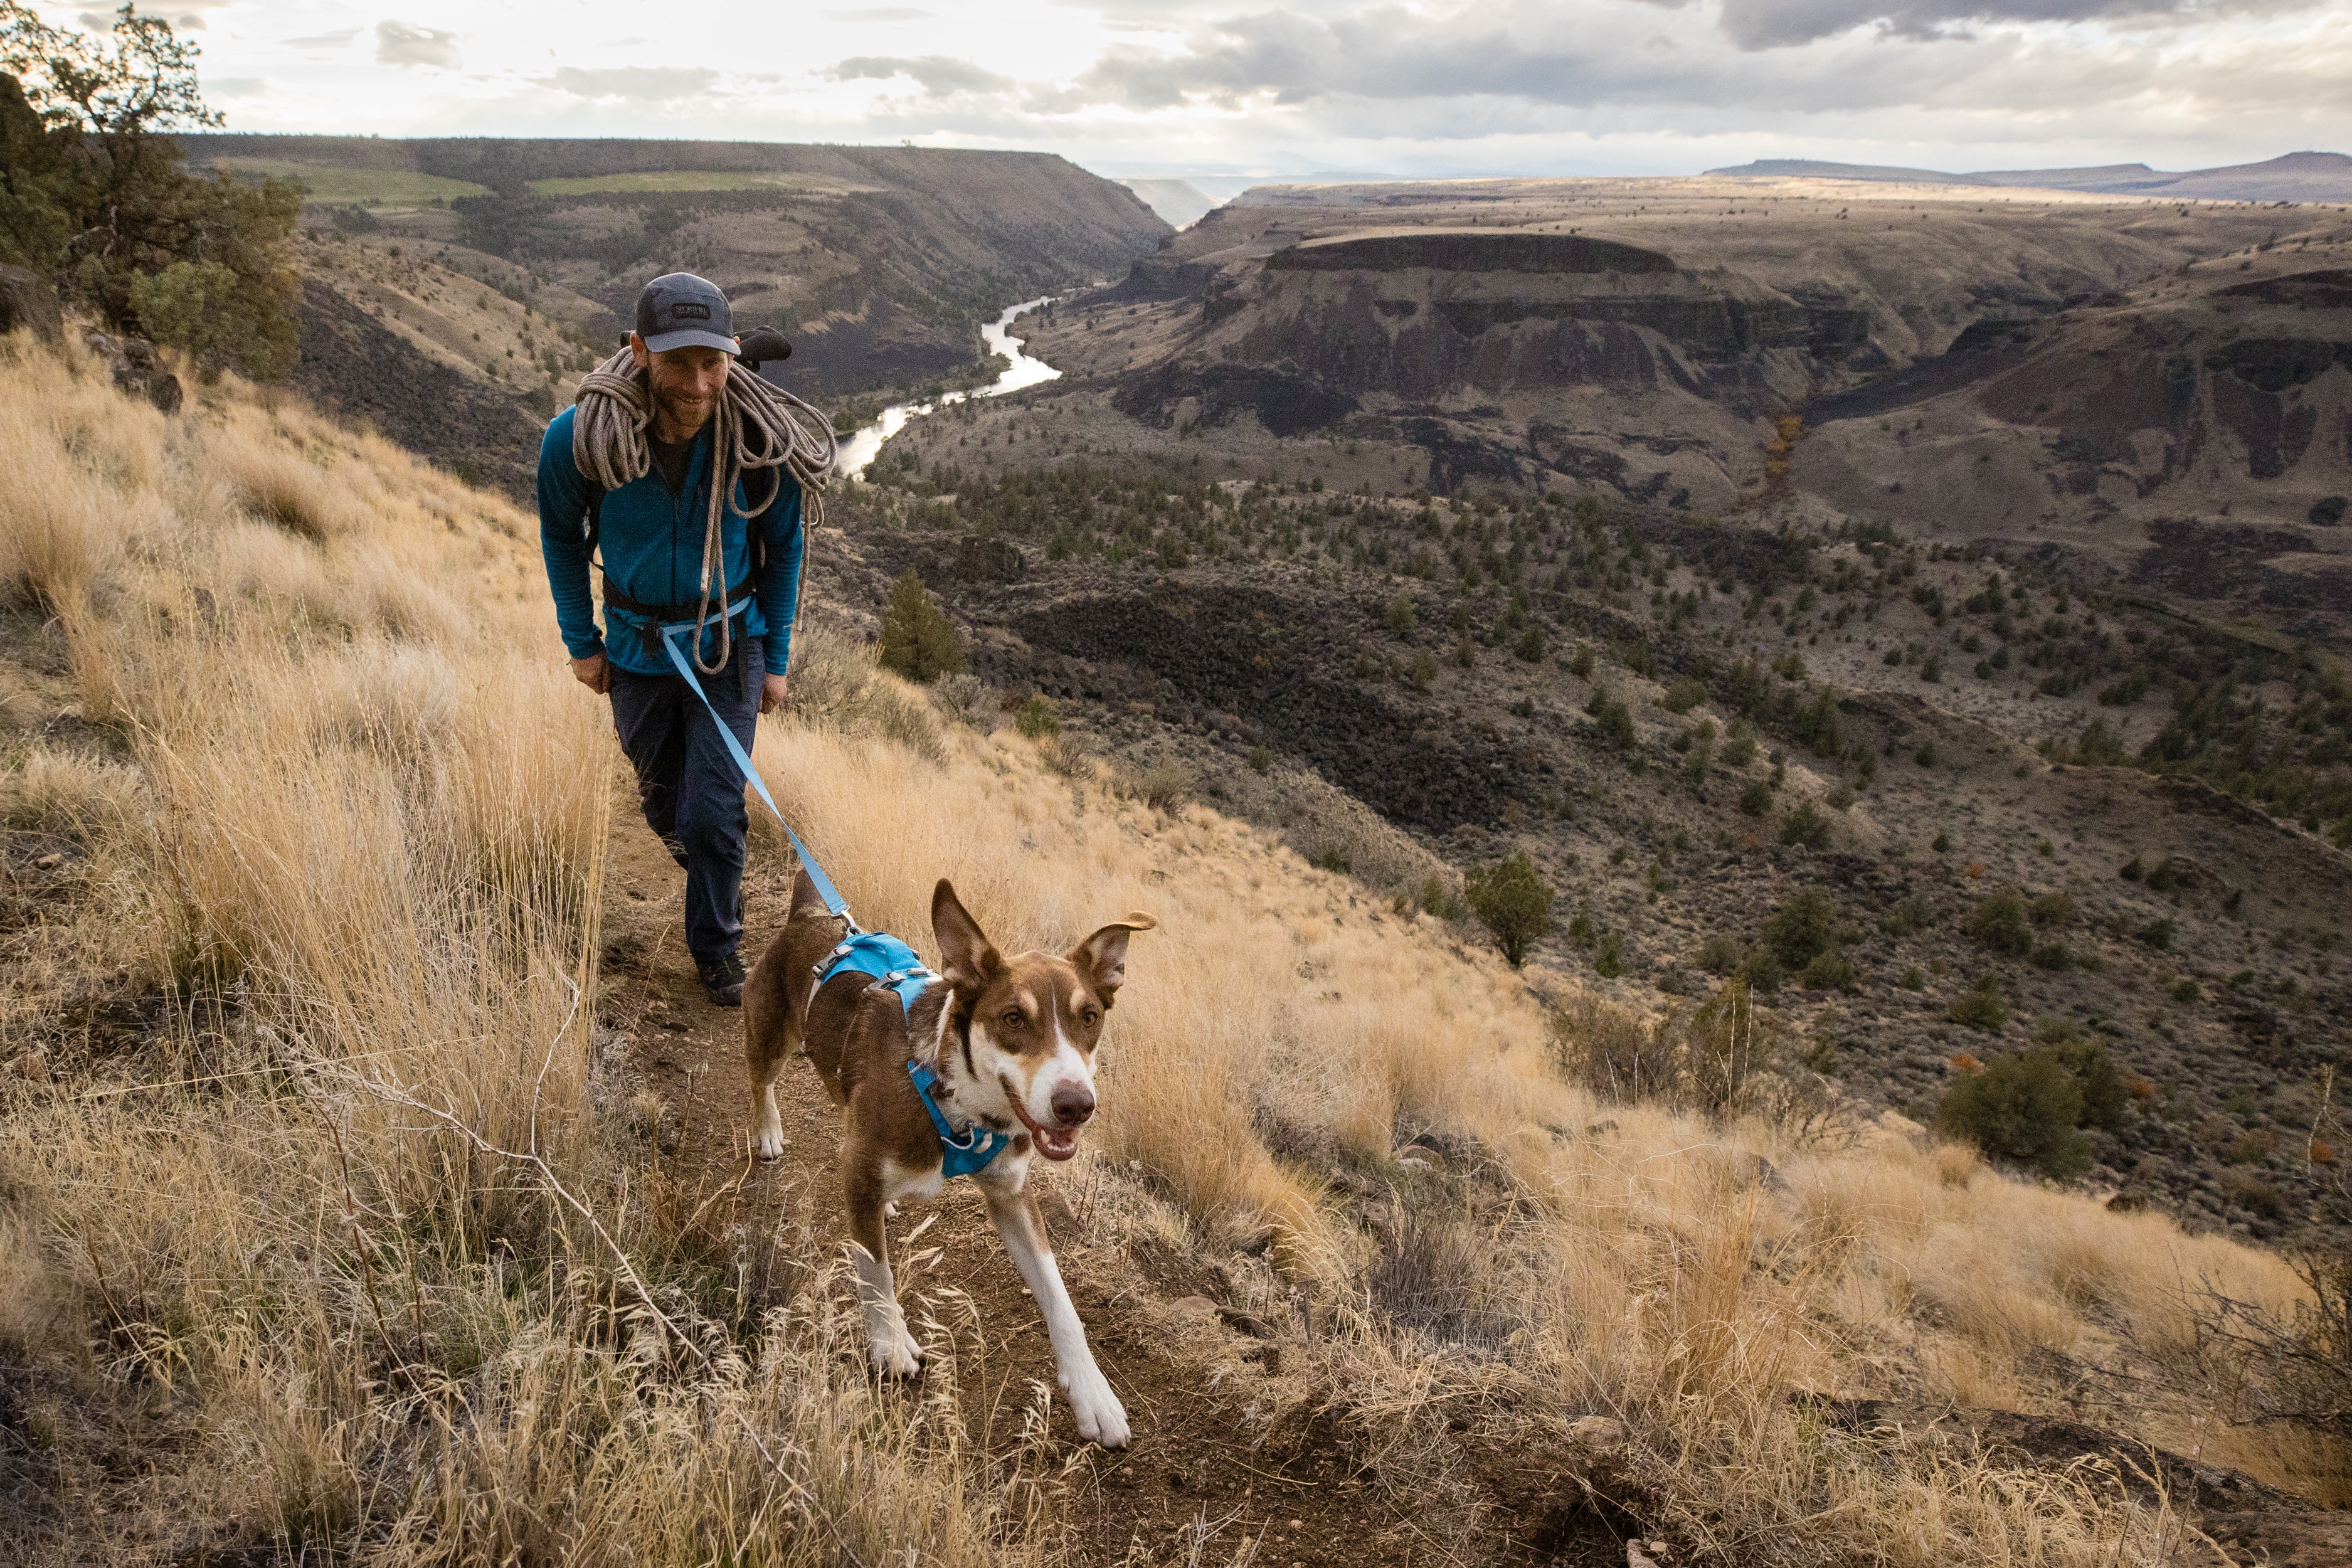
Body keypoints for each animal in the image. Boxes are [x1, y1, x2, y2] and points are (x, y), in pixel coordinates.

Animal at [748, 869, 1152, 1448]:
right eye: (1012, 1018)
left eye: (1090, 1018)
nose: (1076, 1105)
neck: (960, 1101)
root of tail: (806, 916)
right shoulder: (862, 1169)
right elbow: (875, 1271)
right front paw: (889, 1343)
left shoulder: (1013, 1195)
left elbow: (1060, 1298)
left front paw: (1093, 1392)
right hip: (771, 1036)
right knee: (761, 1080)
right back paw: (768, 1130)